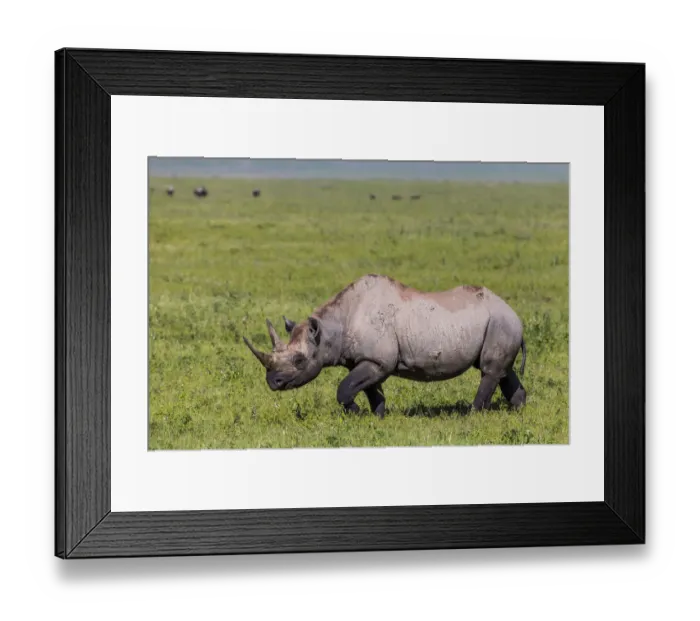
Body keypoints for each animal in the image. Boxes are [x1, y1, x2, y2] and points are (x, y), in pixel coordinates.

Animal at [243, 274, 526, 418]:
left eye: (299, 361)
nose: (273, 382)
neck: (330, 329)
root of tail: (514, 313)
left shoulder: (379, 360)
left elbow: (344, 389)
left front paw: (356, 414)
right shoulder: (365, 360)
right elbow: (369, 389)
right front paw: (377, 416)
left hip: (500, 321)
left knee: (489, 370)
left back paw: (472, 415)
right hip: (499, 324)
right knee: (503, 371)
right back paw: (518, 411)